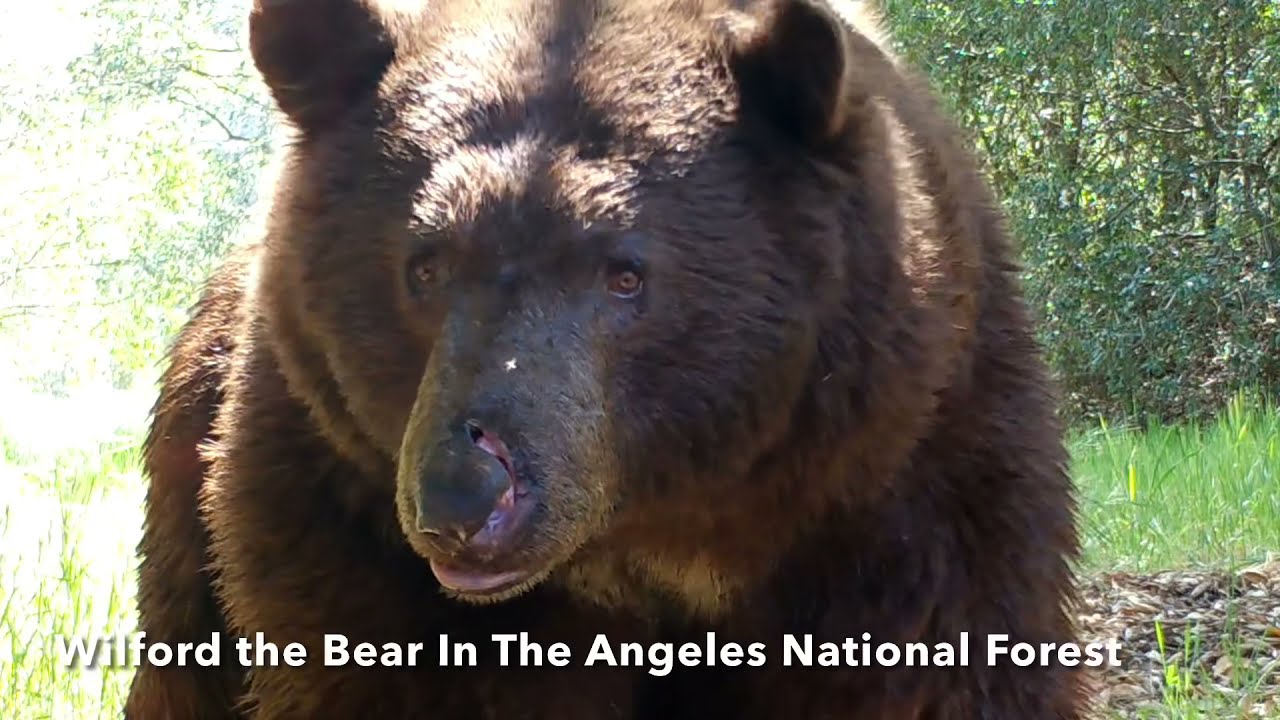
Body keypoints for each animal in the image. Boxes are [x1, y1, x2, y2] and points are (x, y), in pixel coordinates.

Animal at [124, 0, 1086, 718]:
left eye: (625, 272)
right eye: (424, 264)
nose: (463, 499)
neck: (666, 540)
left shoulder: (904, 486)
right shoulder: (339, 507)